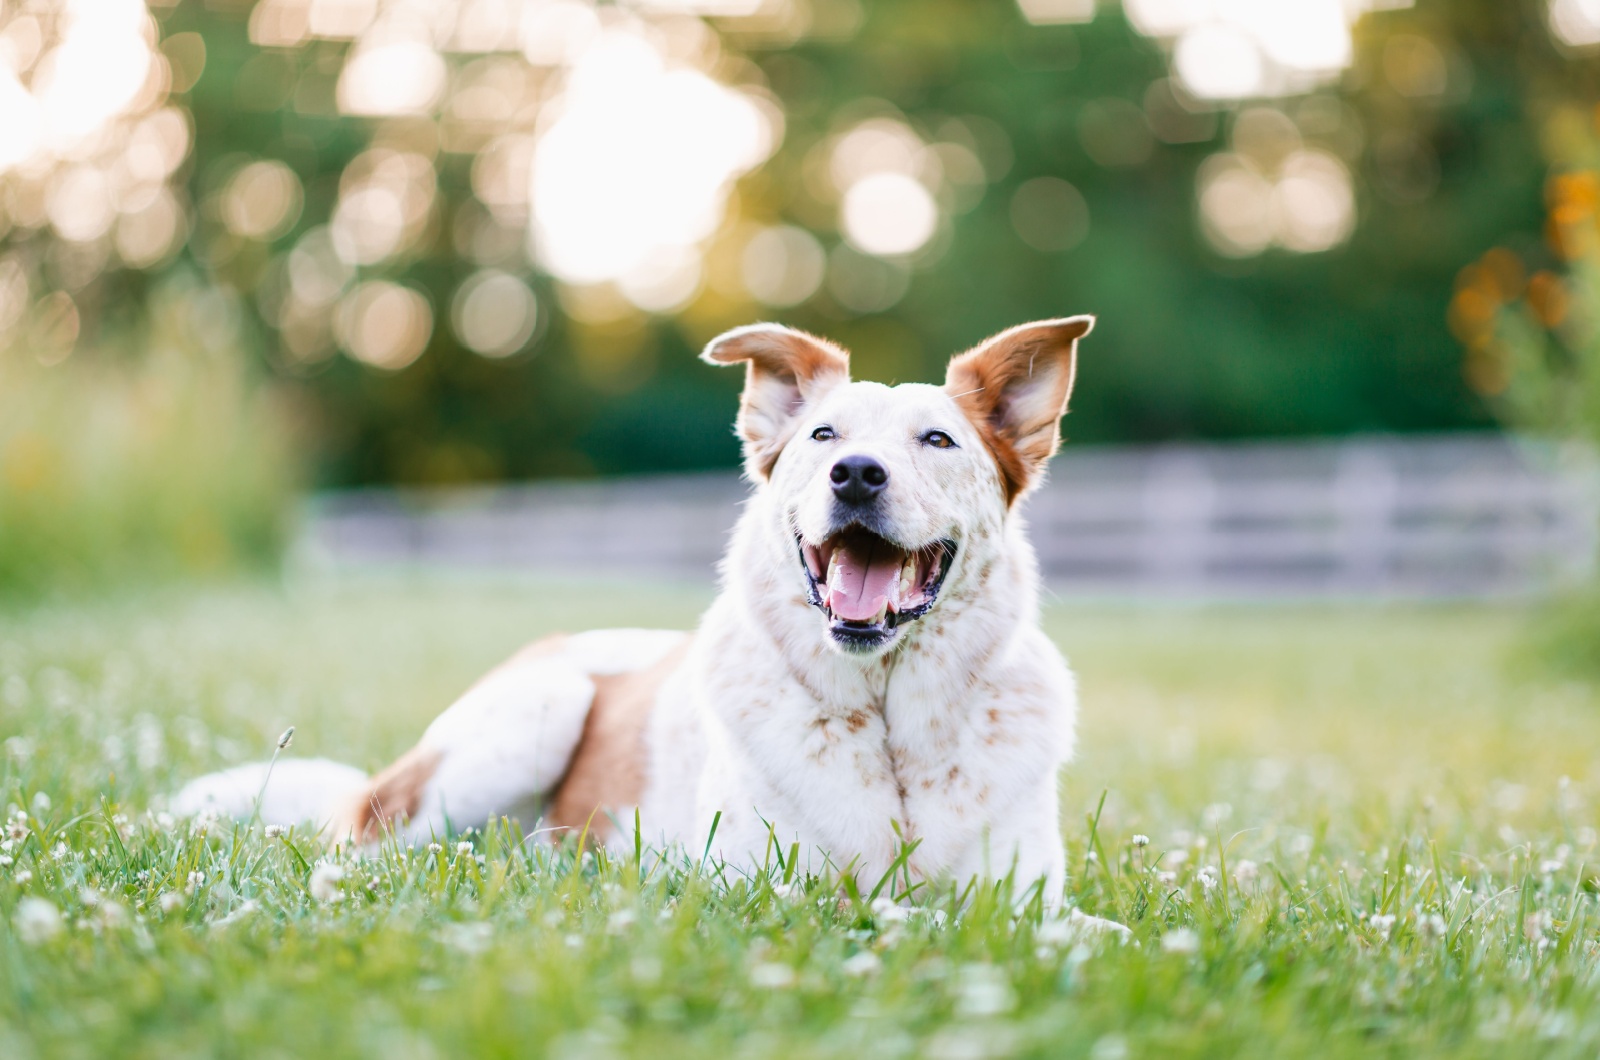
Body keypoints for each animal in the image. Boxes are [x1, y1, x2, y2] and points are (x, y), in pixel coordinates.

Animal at [178, 317, 1100, 903]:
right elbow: (892, 910)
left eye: (937, 441)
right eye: (824, 438)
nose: (857, 475)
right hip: (528, 717)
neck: (888, 722)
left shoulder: (1028, 900)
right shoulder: (760, 887)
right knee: (355, 845)